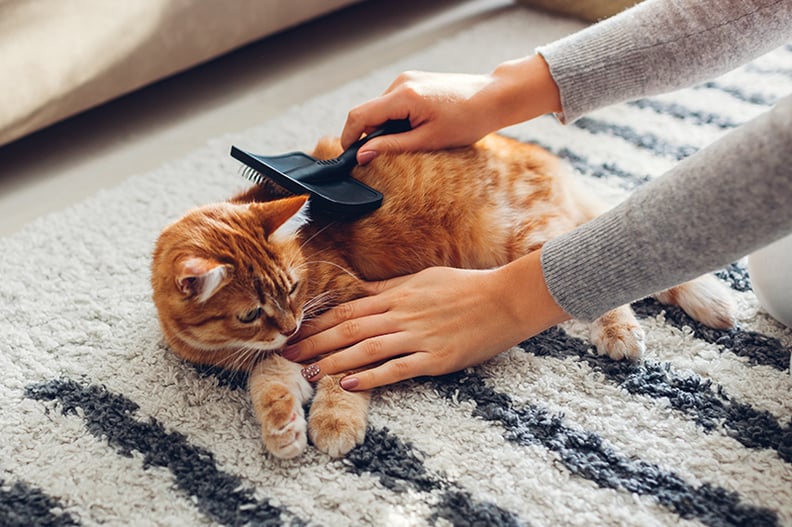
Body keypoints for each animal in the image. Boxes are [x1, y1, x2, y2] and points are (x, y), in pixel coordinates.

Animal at [150, 134, 736, 460]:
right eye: (252, 313)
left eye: (292, 287)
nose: (291, 325)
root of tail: (531, 151)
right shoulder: (276, 357)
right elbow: (270, 385)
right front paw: (284, 429)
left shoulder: (344, 315)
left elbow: (342, 379)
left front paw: (333, 422)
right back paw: (713, 301)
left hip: (525, 240)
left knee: (591, 275)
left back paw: (621, 331)